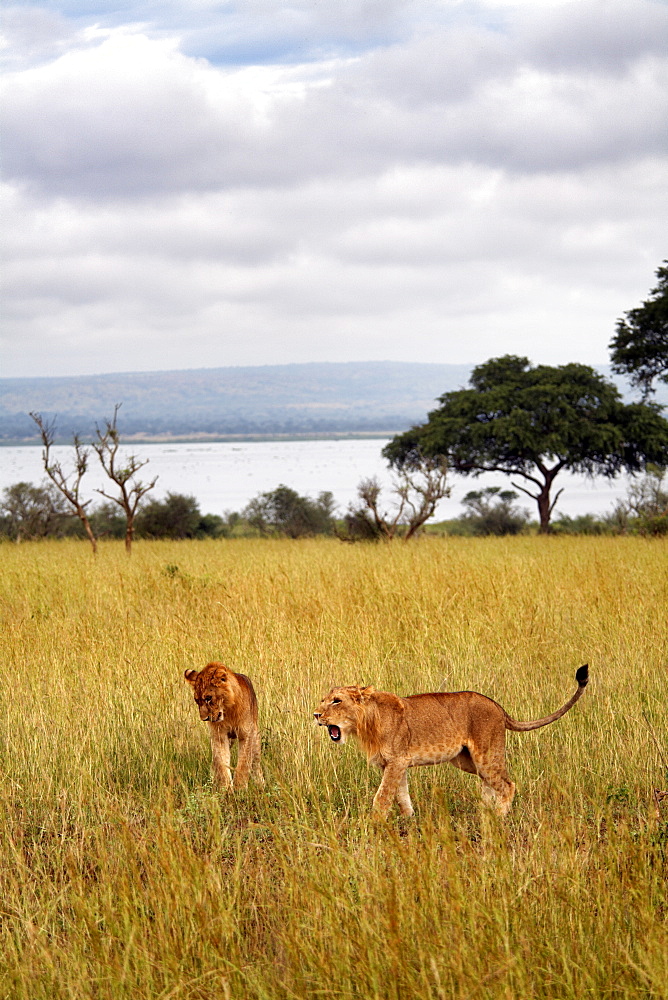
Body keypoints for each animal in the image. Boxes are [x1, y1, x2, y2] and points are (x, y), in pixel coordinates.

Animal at [187, 660, 264, 792]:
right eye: (197, 700)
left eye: (208, 698)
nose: (204, 718)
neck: (228, 711)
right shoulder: (219, 735)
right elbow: (221, 761)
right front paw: (225, 788)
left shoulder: (246, 734)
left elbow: (244, 763)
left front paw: (240, 788)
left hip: (255, 734)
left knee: (256, 760)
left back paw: (260, 783)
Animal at [314, 660, 588, 816]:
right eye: (323, 700)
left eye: (337, 701)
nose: (316, 715)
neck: (366, 723)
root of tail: (498, 707)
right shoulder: (395, 764)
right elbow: (402, 796)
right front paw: (410, 820)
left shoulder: (397, 761)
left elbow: (382, 798)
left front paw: (375, 825)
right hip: (467, 760)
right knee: (489, 785)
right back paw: (485, 813)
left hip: (486, 754)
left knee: (507, 785)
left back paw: (498, 819)